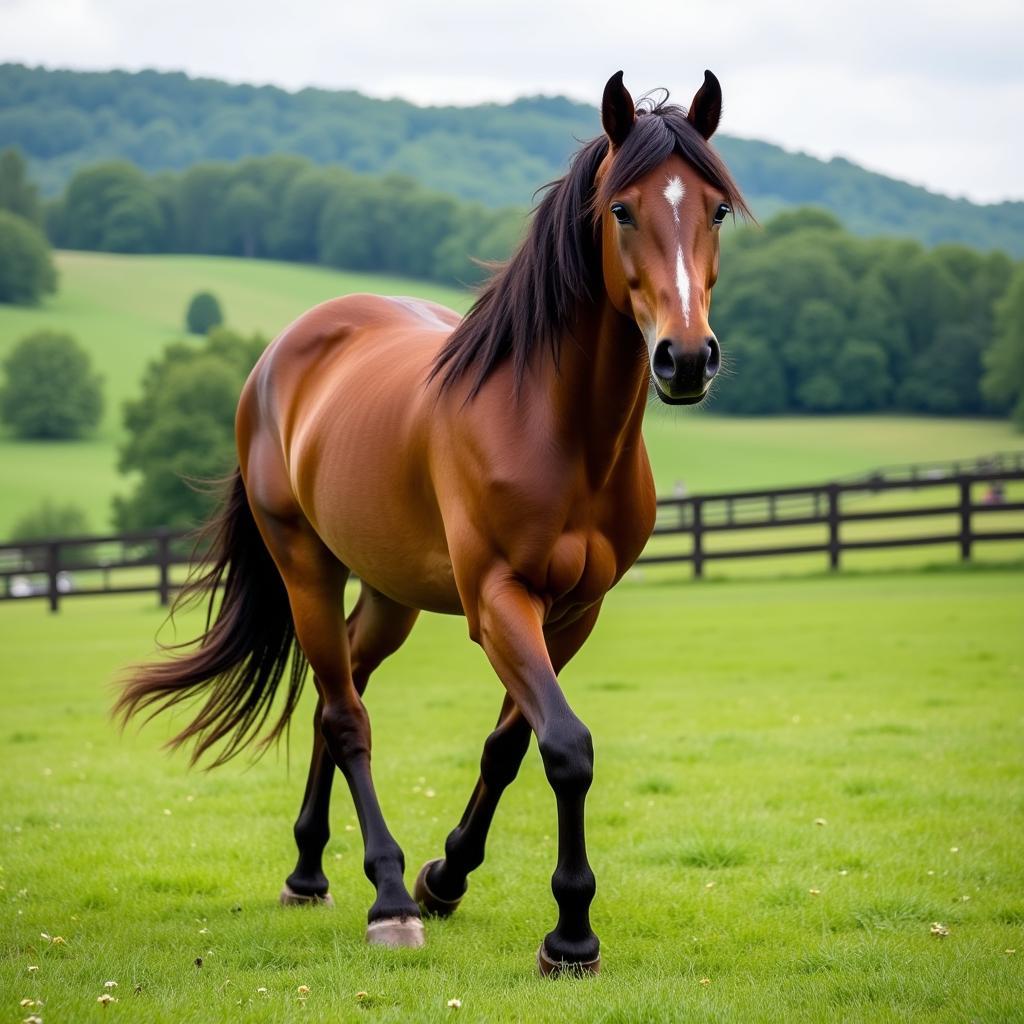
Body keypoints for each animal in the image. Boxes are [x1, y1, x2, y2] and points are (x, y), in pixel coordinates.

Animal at [117, 70, 753, 974]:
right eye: (622, 210)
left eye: (717, 209)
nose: (687, 358)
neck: (554, 426)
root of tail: (280, 355)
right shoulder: (498, 601)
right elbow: (568, 747)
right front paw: (569, 931)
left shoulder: (574, 612)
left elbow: (513, 746)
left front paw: (449, 876)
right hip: (305, 567)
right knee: (346, 717)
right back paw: (385, 899)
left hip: (391, 596)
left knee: (340, 687)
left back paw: (311, 871)